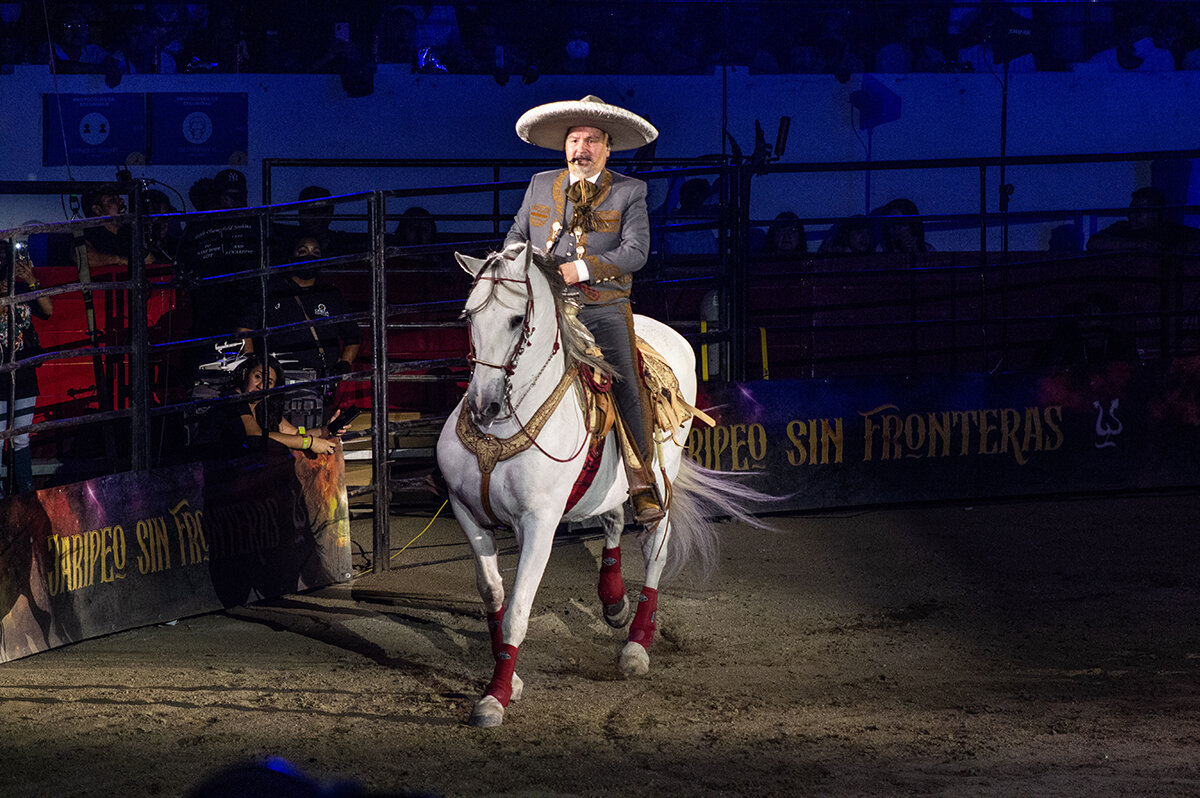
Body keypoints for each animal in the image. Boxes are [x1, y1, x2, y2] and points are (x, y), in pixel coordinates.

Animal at [439, 242, 758, 729]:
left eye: (515, 320)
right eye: (469, 315)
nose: (482, 404)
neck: (500, 431)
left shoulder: (539, 523)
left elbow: (517, 611)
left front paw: (495, 697)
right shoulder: (466, 512)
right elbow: (494, 595)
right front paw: (509, 678)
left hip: (662, 477)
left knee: (655, 546)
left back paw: (636, 646)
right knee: (611, 519)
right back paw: (613, 603)